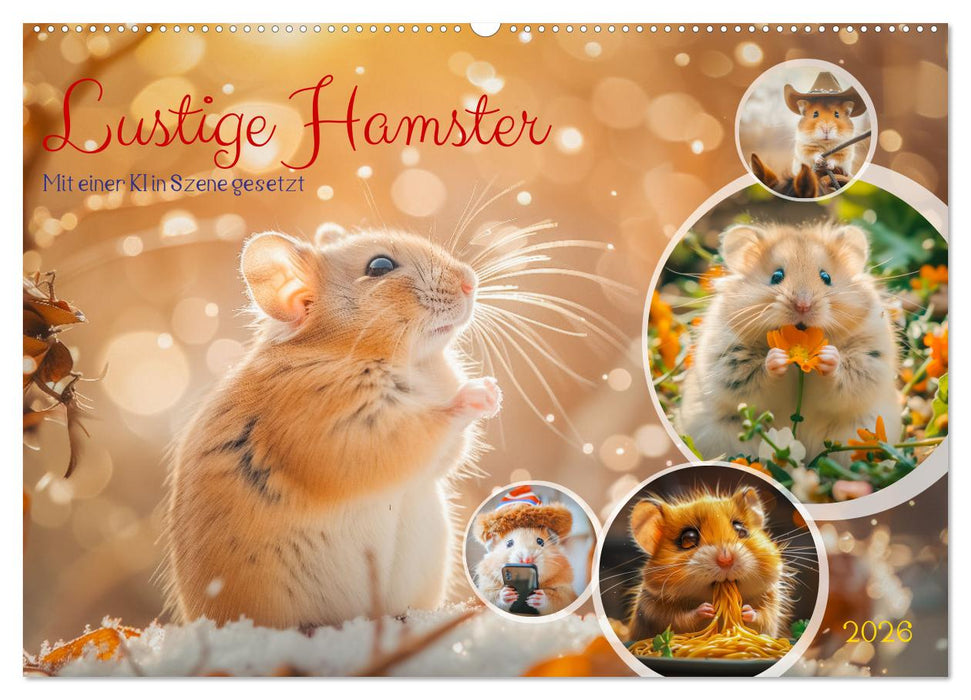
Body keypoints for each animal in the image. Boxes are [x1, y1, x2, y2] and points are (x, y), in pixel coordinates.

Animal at [163, 227, 502, 629]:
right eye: (380, 266)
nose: (470, 282)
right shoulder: (340, 428)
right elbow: (423, 429)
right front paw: (479, 393)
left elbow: (448, 451)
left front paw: (493, 393)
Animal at [626, 487, 790, 642]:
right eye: (688, 539)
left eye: (741, 530)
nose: (726, 560)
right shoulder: (657, 612)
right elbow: (682, 619)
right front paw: (707, 610)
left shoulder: (770, 606)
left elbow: (761, 617)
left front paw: (745, 610)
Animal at [679, 222, 901, 465]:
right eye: (776, 276)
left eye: (826, 277)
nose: (803, 305)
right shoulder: (729, 363)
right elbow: (757, 379)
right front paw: (776, 358)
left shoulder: (868, 361)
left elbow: (844, 380)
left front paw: (829, 356)